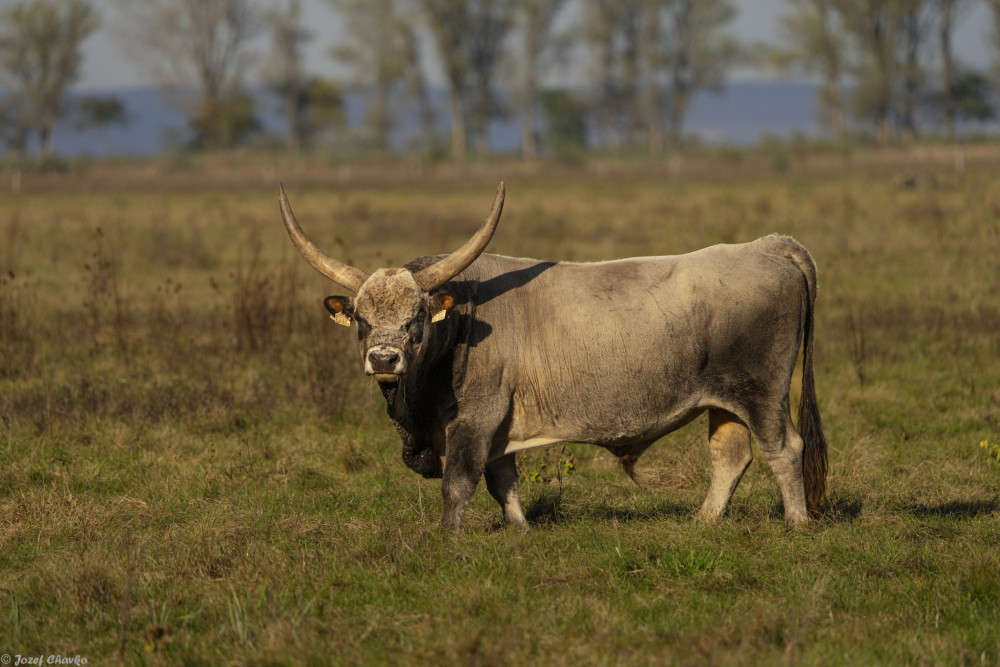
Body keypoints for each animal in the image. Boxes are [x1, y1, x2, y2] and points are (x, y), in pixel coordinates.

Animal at [278, 183, 824, 532]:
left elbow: (459, 482)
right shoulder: (499, 427)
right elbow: (503, 481)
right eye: (362, 320)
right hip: (723, 400)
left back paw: (797, 524)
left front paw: (446, 537)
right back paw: (704, 521)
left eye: (416, 320)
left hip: (763, 394)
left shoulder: (476, 418)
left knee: (784, 449)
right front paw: (519, 529)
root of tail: (767, 246)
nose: (385, 359)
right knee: (730, 456)